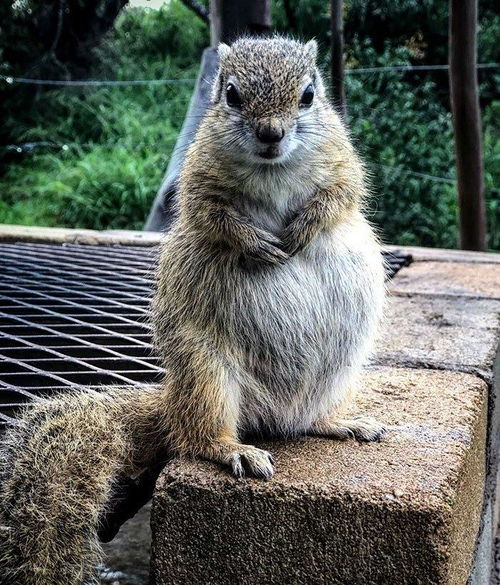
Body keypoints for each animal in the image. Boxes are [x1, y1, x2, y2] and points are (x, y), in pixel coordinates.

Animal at [0, 37, 384, 584]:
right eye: (231, 95)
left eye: (309, 95)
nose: (271, 134)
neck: (273, 168)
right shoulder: (196, 179)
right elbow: (213, 216)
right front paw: (255, 244)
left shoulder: (344, 163)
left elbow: (341, 194)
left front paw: (303, 229)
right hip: (207, 373)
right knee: (196, 438)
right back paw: (231, 448)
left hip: (338, 370)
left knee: (305, 419)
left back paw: (339, 423)